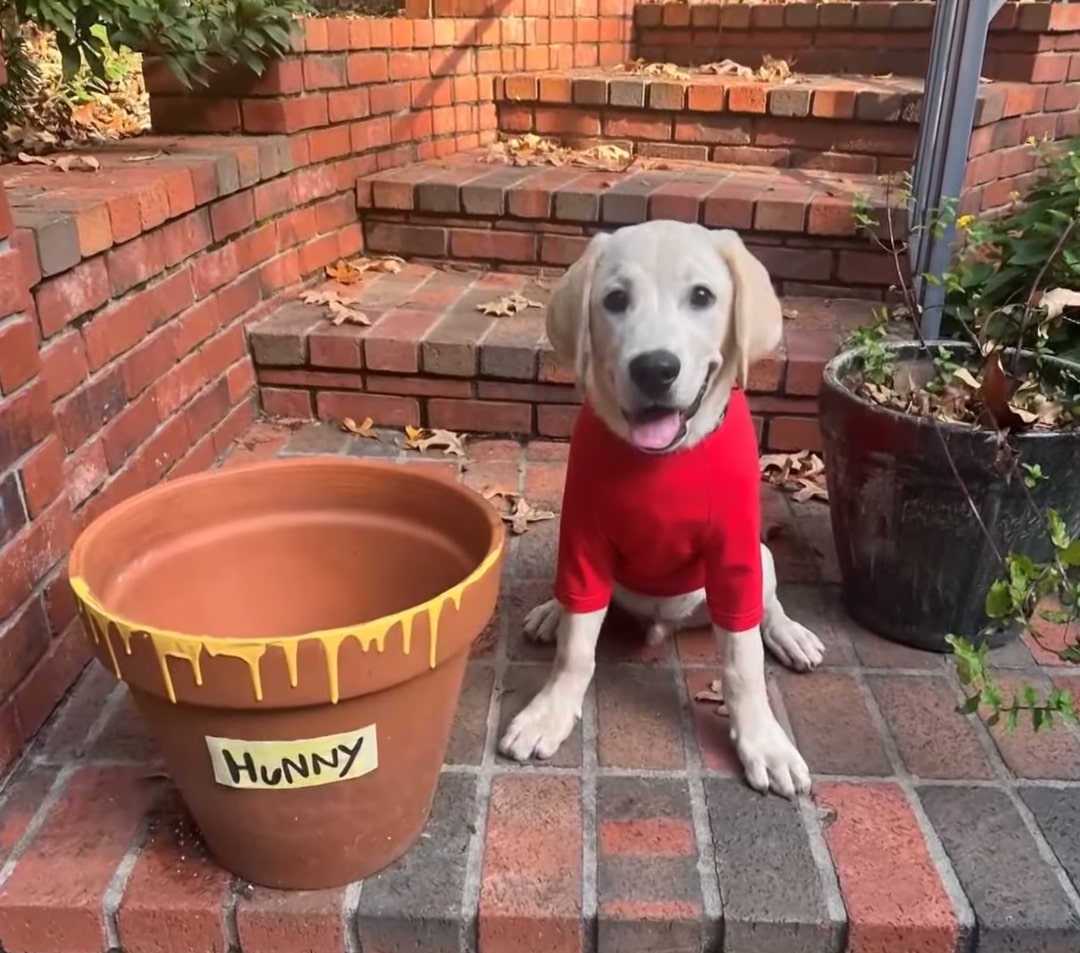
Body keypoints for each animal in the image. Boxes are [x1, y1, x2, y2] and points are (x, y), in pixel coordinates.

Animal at [501, 222, 820, 795]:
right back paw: (552, 611)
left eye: (703, 297)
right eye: (614, 300)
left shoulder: (734, 553)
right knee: (575, 602)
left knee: (767, 604)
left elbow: (744, 660)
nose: (655, 369)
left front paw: (763, 741)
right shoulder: (584, 538)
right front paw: (549, 712)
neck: (663, 460)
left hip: (759, 558)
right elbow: (576, 647)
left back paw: (790, 633)